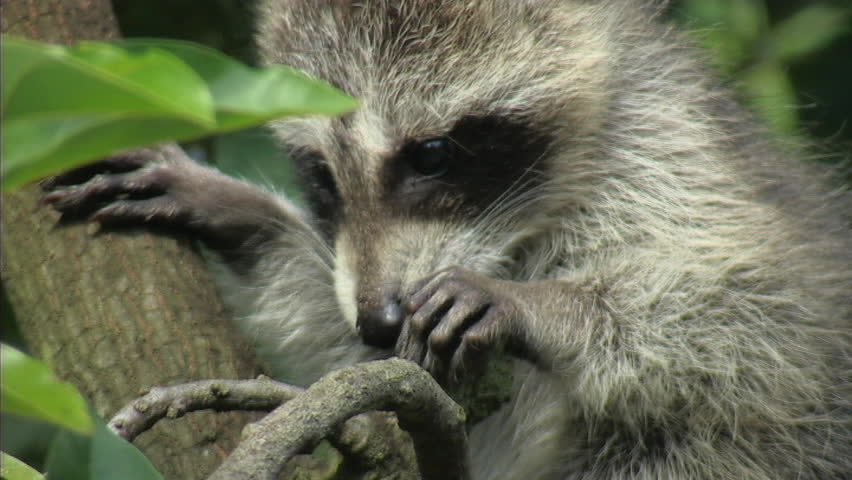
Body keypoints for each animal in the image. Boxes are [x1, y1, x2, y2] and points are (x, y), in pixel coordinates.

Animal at [43, 0, 852, 478]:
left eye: (429, 154)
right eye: (322, 176)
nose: (378, 317)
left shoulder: (671, 151)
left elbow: (763, 322)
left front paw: (541, 306)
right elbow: (352, 359)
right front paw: (246, 215)